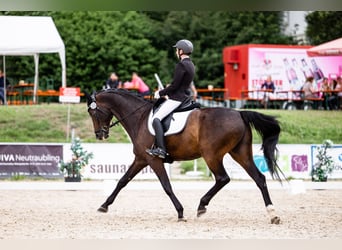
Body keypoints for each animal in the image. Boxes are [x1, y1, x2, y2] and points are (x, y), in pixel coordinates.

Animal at [86, 89, 284, 224]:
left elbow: (166, 186)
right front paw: (104, 205)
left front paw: (180, 212)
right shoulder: (141, 159)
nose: (100, 135)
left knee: (223, 178)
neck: (139, 117)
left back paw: (202, 206)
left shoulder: (153, 160)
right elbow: (122, 181)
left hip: (211, 155)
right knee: (259, 178)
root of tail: (239, 113)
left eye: (92, 112)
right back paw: (273, 214)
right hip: (240, 153)